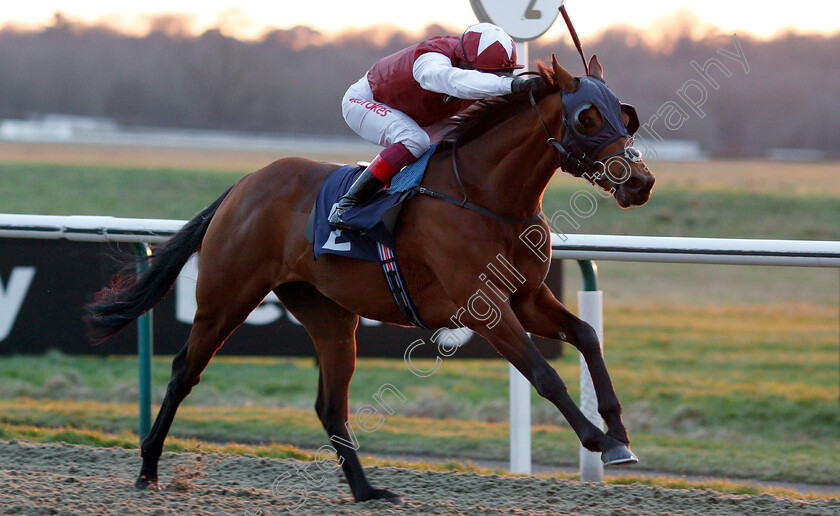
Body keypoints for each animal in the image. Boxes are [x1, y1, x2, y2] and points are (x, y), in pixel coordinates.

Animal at [85, 55, 656, 504]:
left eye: (624, 112)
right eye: (587, 116)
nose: (641, 181)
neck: (484, 196)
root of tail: (243, 185)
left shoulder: (529, 297)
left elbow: (586, 335)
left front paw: (619, 430)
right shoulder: (485, 307)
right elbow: (544, 373)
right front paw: (601, 441)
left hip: (330, 316)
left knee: (330, 405)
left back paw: (366, 490)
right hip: (226, 296)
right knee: (184, 371)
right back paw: (148, 469)